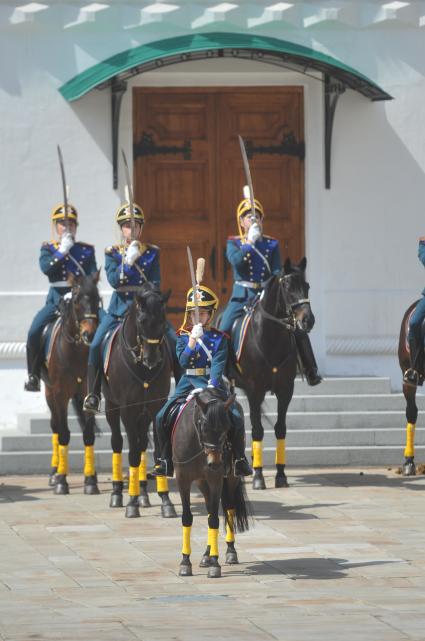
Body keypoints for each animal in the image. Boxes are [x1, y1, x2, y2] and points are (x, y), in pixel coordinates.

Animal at [42, 270, 101, 496]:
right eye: (76, 301)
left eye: (97, 299)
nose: (89, 334)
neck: (75, 352)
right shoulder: (59, 394)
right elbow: (64, 435)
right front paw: (61, 480)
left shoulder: (88, 393)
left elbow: (88, 434)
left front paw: (91, 481)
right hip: (49, 393)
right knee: (55, 427)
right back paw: (54, 472)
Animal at [103, 282, 176, 516]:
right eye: (142, 321)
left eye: (163, 320)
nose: (152, 359)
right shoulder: (127, 410)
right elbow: (133, 453)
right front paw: (132, 503)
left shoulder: (155, 408)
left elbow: (157, 452)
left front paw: (165, 500)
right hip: (111, 407)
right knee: (118, 442)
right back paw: (117, 493)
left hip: (143, 415)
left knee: (143, 443)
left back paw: (144, 493)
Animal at [171, 384, 248, 580]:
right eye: (203, 426)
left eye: (228, 427)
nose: (215, 463)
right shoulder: (182, 479)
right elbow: (187, 517)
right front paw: (185, 562)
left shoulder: (216, 479)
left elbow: (214, 519)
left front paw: (215, 563)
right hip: (201, 481)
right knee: (208, 509)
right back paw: (206, 554)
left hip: (230, 478)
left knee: (228, 508)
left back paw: (229, 551)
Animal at [227, 258, 316, 488]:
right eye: (288, 287)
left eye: (307, 286)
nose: (308, 320)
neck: (271, 337)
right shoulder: (254, 390)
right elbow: (257, 429)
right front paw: (259, 477)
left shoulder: (286, 390)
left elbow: (280, 428)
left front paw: (281, 475)